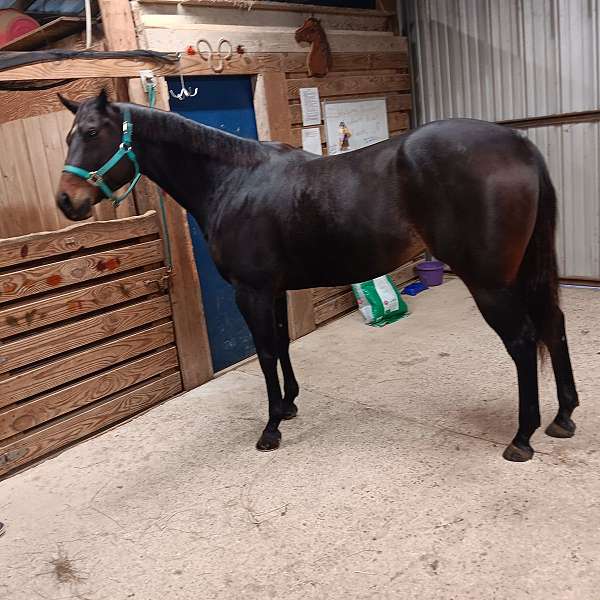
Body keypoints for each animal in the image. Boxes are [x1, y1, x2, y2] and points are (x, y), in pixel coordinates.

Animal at [55, 91, 576, 462]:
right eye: (67, 136)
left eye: (93, 132)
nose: (65, 201)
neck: (233, 181)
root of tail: (520, 145)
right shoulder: (273, 290)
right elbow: (283, 343)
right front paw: (289, 405)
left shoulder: (251, 292)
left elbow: (266, 352)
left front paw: (270, 429)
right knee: (553, 326)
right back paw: (564, 416)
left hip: (489, 282)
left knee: (524, 341)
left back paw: (523, 437)